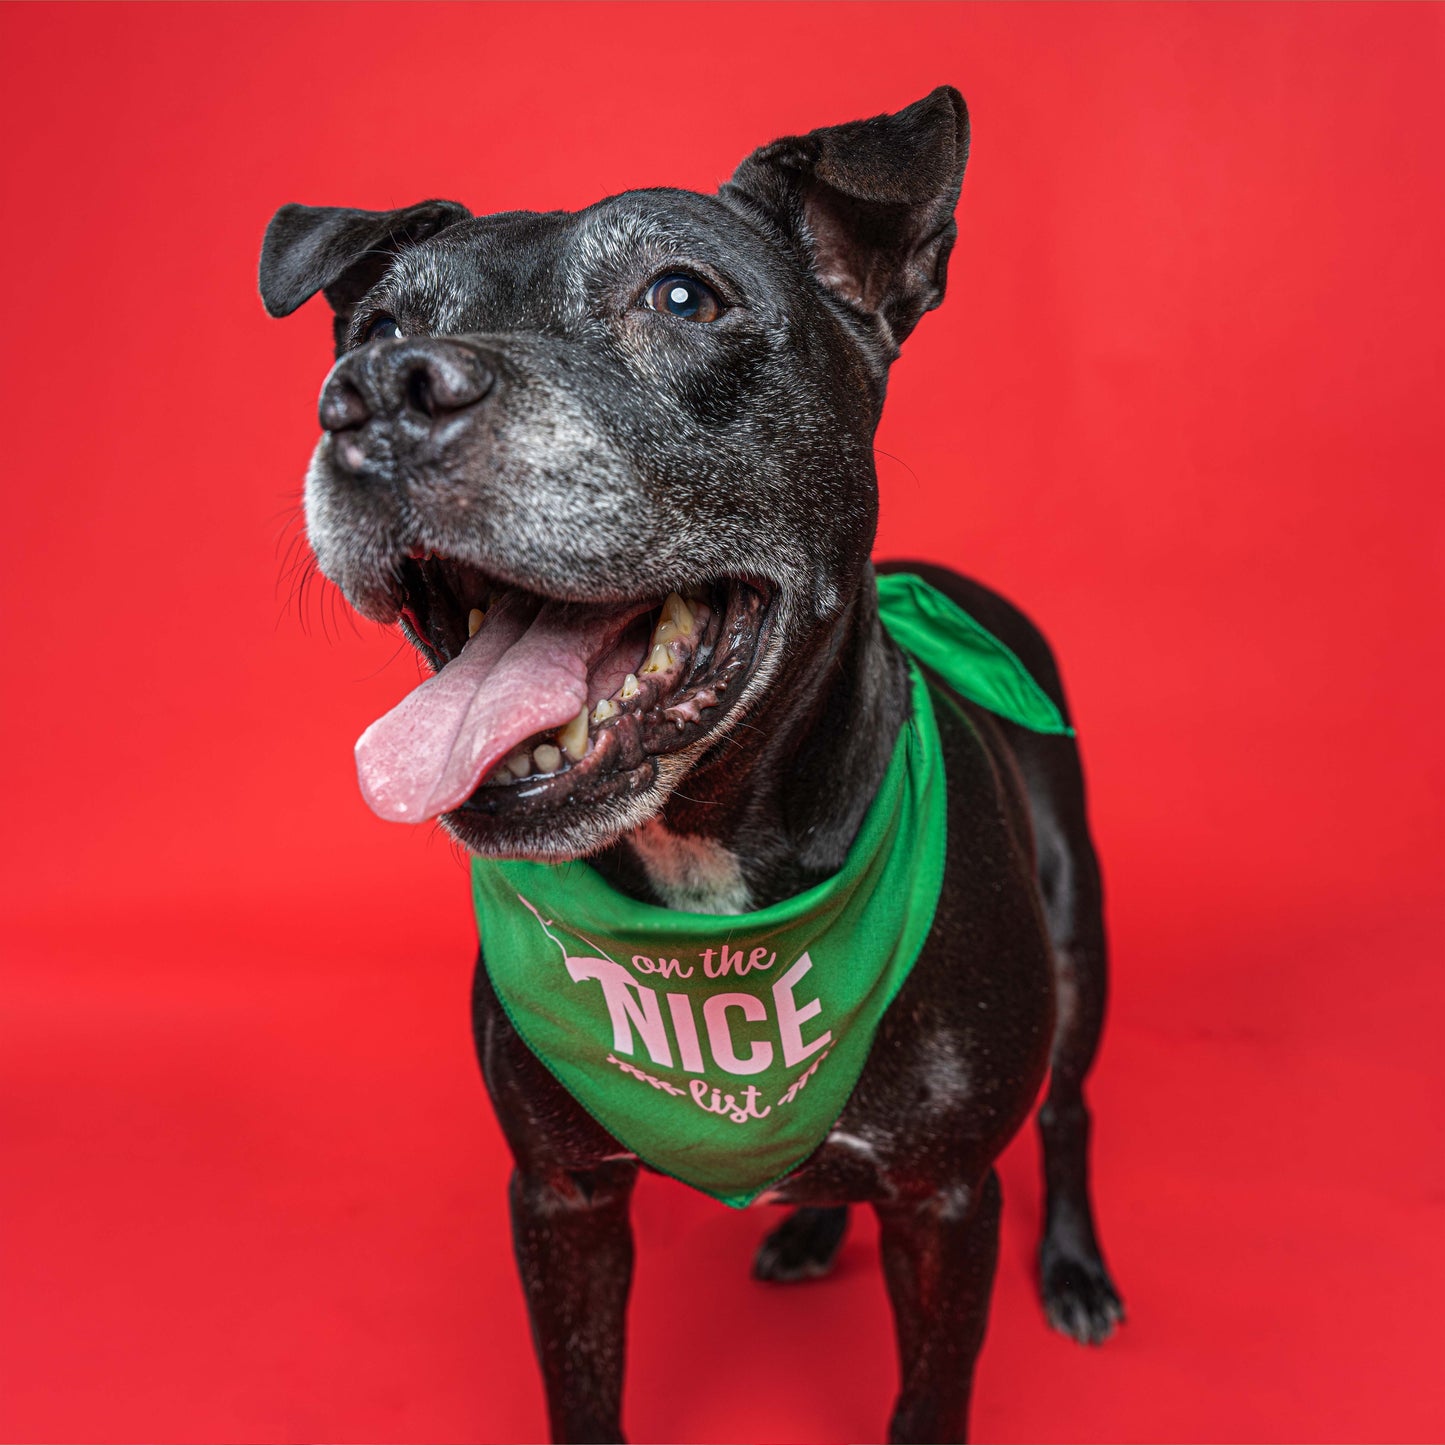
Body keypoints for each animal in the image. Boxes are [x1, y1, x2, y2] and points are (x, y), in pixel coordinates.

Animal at [262, 84, 1127, 1439]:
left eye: (681, 296)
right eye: (381, 323)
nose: (375, 394)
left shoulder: (947, 1199)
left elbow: (927, 1396)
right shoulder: (559, 1192)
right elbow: (581, 1390)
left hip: (1082, 947)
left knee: (1072, 1108)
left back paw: (1077, 1268)